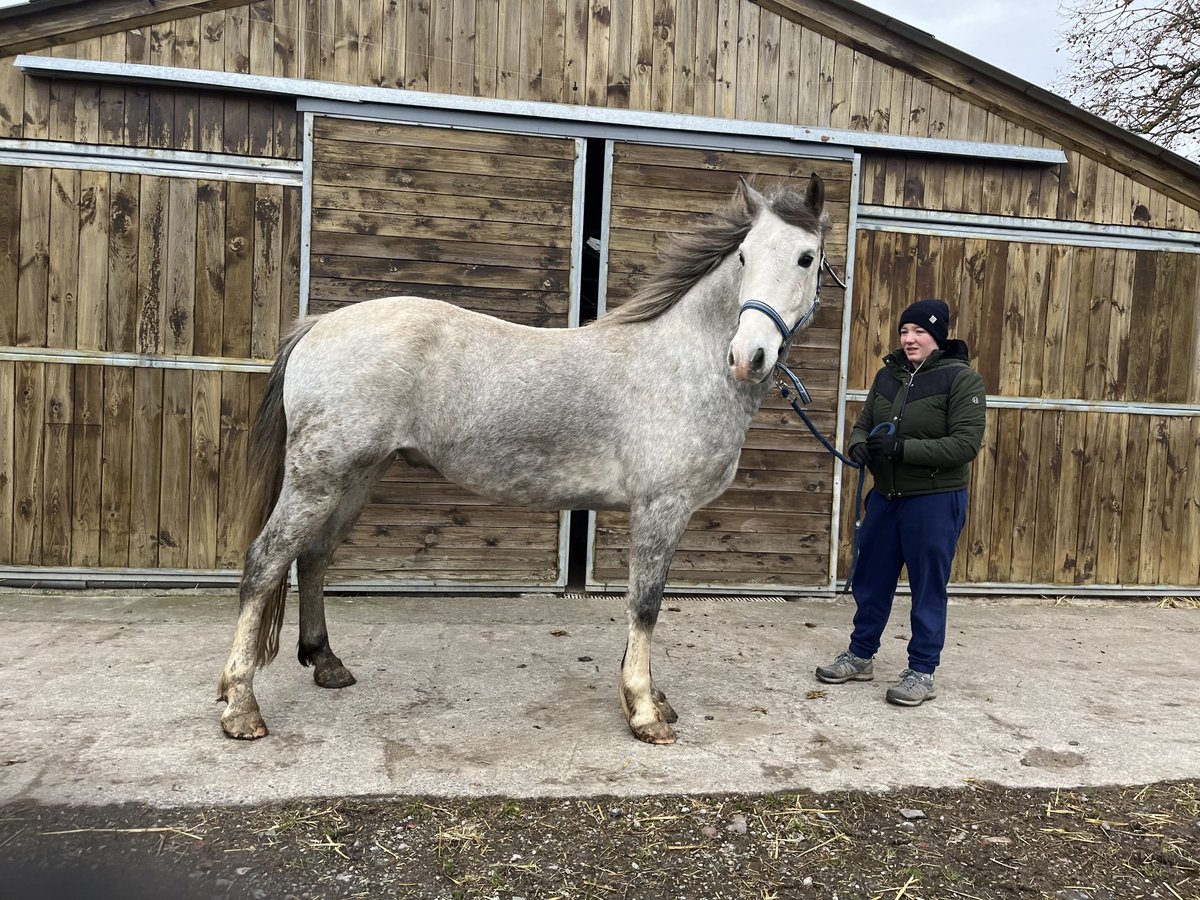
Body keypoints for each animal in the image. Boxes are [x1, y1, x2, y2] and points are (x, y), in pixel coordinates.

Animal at [220, 174, 830, 748]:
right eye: (745, 256)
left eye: (806, 257)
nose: (748, 356)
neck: (679, 362)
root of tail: (318, 326)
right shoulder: (662, 507)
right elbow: (646, 603)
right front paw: (644, 712)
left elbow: (644, 602)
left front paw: (651, 696)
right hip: (317, 478)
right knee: (266, 562)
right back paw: (240, 706)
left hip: (356, 477)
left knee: (313, 557)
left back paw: (326, 664)